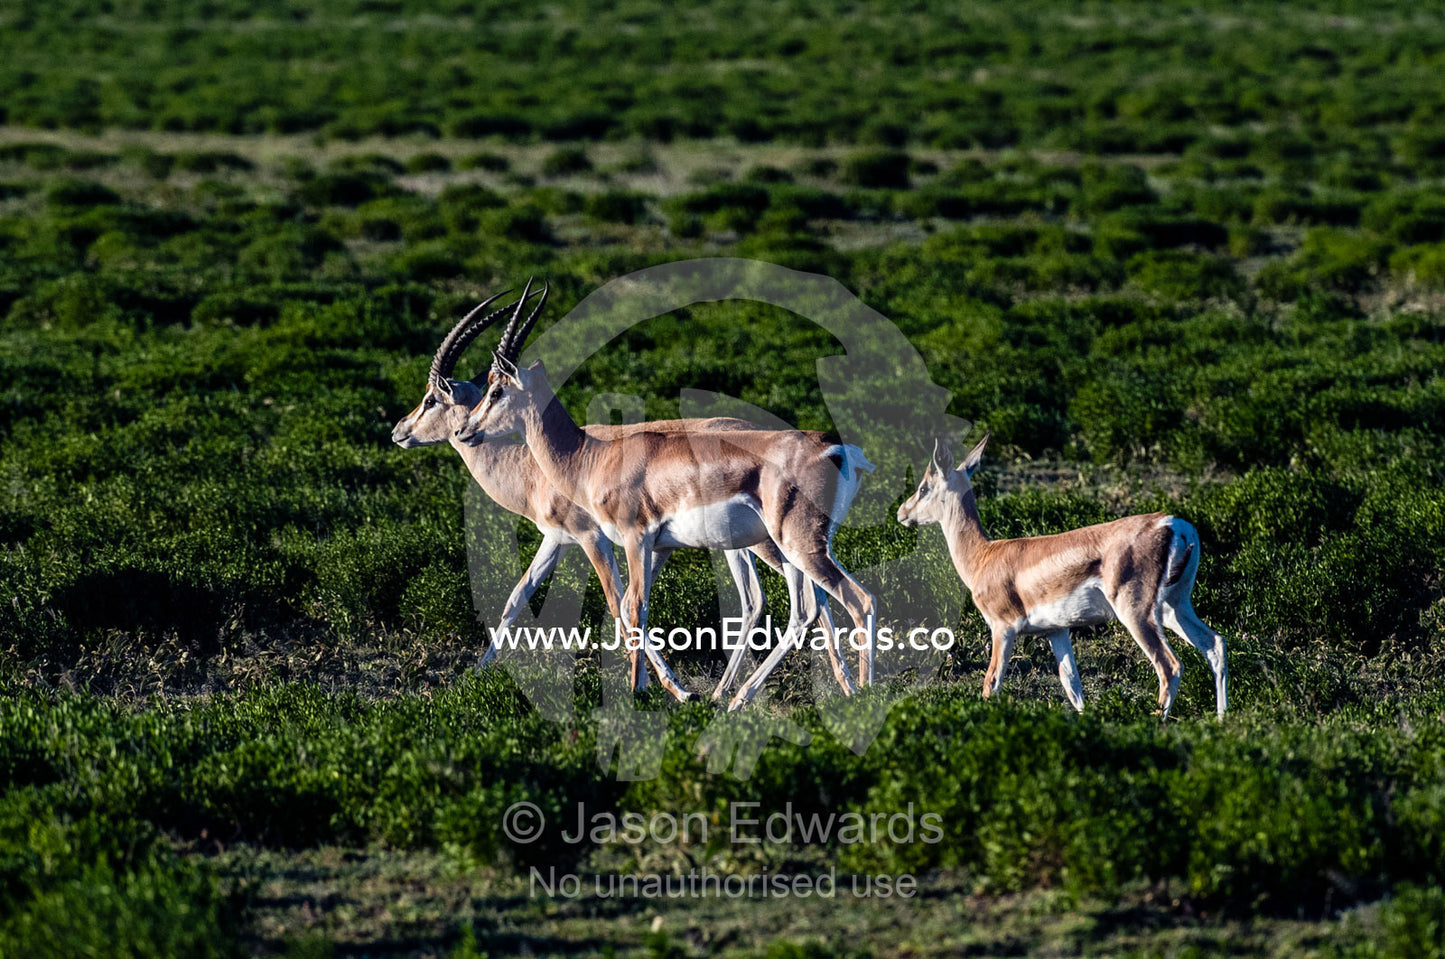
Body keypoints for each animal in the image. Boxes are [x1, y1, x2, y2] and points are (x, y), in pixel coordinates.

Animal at [392, 287, 834, 701]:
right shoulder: (559, 540)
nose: (398, 431)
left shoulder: (596, 538)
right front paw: (476, 673)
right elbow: (518, 597)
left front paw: (670, 687)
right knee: (792, 594)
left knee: (808, 592)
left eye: (430, 398)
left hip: (763, 541)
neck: (545, 466)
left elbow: (618, 603)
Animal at [896, 434, 1228, 719]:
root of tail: (1176, 525)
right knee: (1215, 644)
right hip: (1174, 607)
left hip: (1136, 613)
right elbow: (1072, 686)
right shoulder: (1056, 631)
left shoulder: (1003, 628)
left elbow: (991, 683)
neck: (984, 557)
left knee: (1169, 666)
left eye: (924, 487)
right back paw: (1222, 720)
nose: (901, 512)